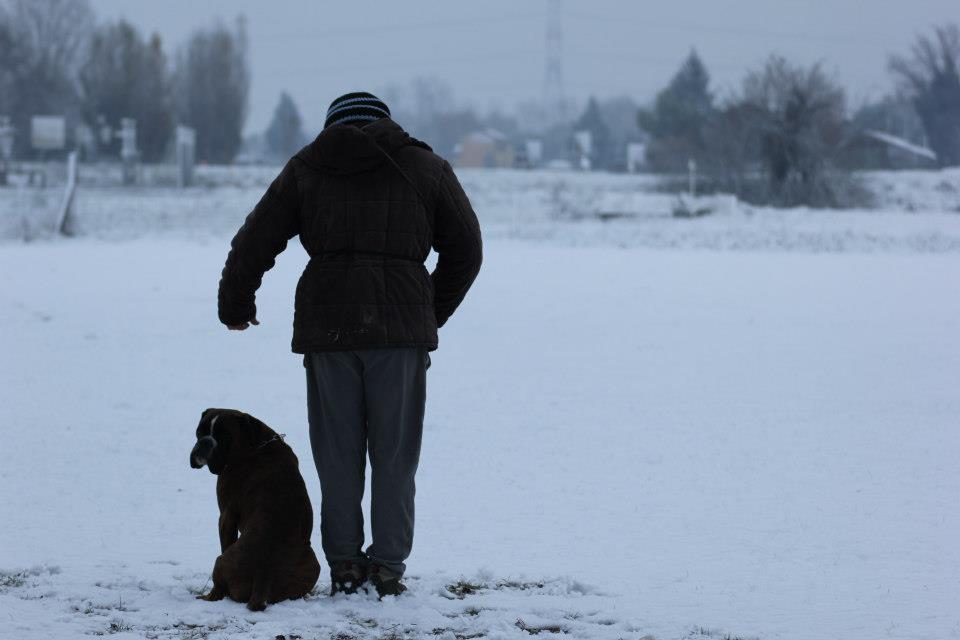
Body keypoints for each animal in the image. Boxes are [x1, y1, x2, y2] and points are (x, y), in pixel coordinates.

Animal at [189, 408, 320, 612]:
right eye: (199, 432)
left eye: (224, 436)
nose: (205, 442)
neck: (255, 445)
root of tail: (263, 574)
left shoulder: (226, 515)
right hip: (314, 564)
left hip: (220, 561)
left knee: (219, 590)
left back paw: (207, 596)